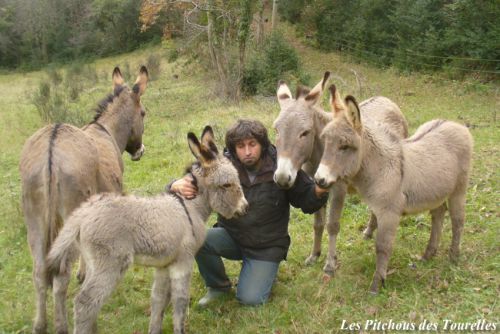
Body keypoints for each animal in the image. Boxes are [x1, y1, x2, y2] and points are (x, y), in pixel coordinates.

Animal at [47, 126, 247, 334]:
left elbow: (158, 300)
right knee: (84, 303)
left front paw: (154, 329)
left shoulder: (164, 264)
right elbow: (180, 301)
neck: (189, 207)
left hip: (92, 262)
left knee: (66, 287)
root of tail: (84, 212)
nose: (245, 208)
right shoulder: (183, 260)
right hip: (110, 264)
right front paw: (179, 329)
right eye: (226, 185)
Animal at [316, 85, 472, 292]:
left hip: (459, 189)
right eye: (324, 141)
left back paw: (453, 257)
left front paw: (376, 284)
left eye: (345, 146)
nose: (319, 180)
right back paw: (428, 254)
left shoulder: (389, 213)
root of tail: (456, 124)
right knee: (438, 214)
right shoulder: (378, 209)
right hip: (436, 191)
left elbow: (383, 247)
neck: (380, 167)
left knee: (458, 220)